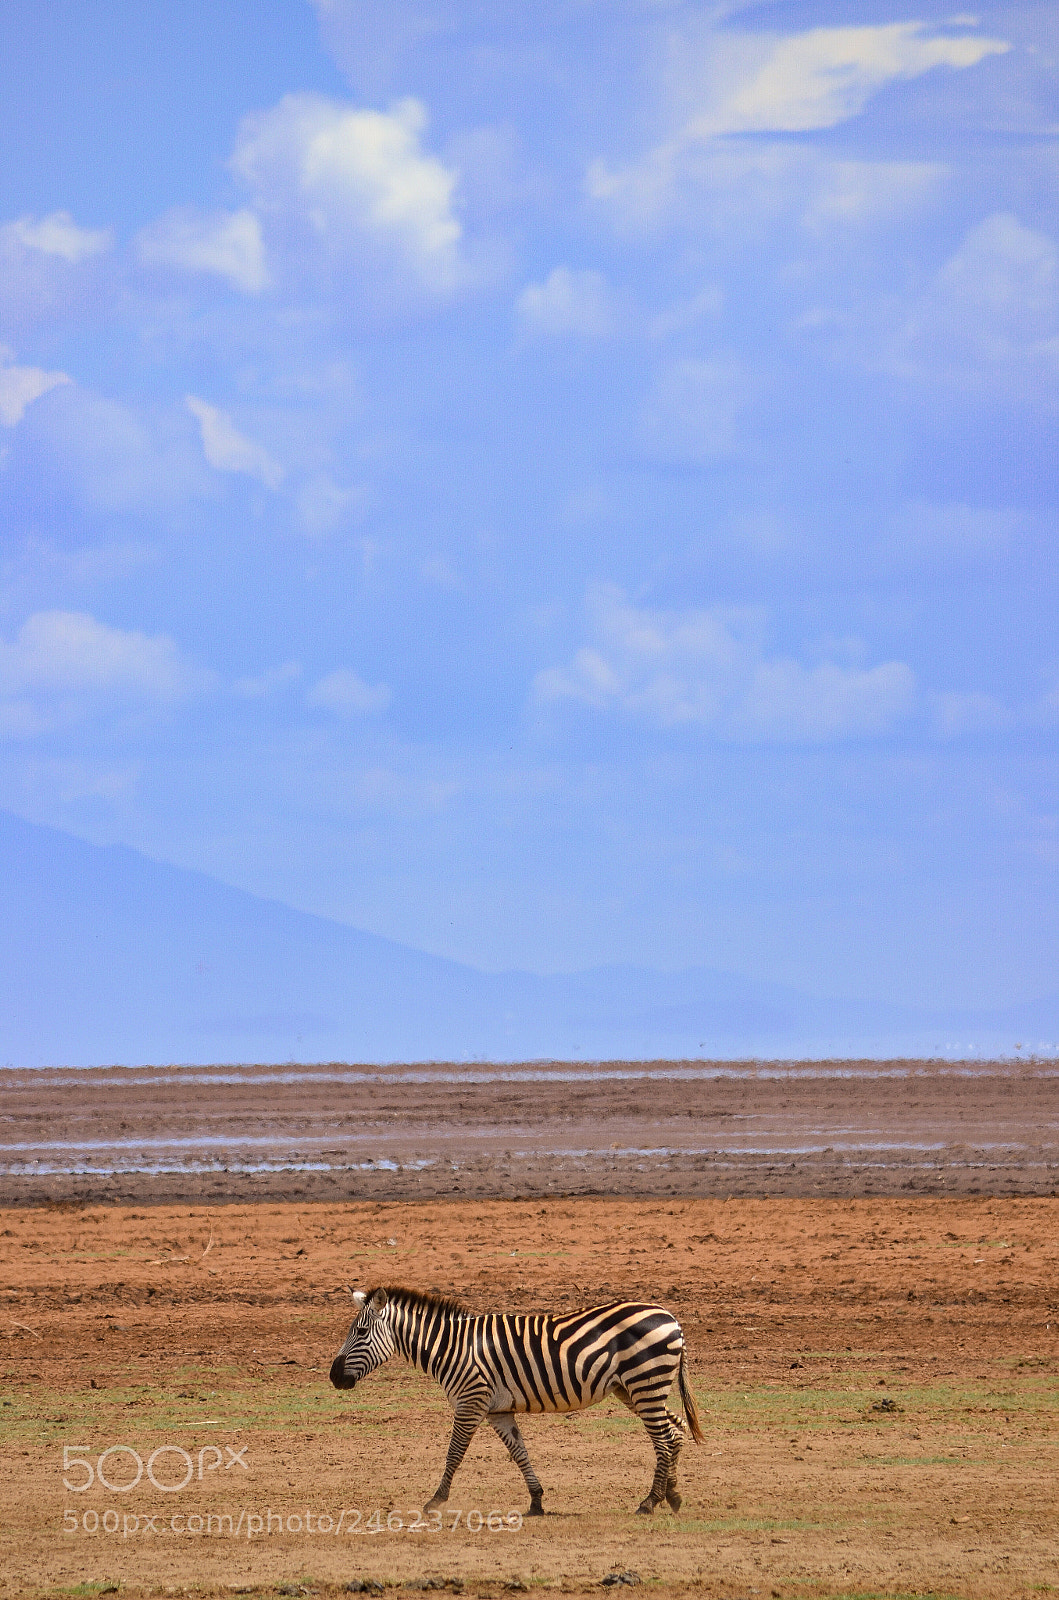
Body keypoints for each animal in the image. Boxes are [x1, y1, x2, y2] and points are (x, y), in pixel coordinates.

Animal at [329, 1286, 704, 1515]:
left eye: (360, 1332)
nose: (333, 1377)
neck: (451, 1347)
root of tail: (670, 1317)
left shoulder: (471, 1401)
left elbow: (454, 1453)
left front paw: (435, 1501)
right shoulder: (498, 1410)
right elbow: (519, 1451)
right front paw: (536, 1501)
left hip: (645, 1382)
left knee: (663, 1438)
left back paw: (650, 1501)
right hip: (633, 1388)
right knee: (673, 1431)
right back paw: (671, 1496)